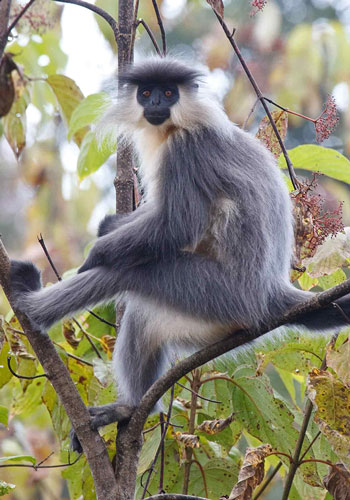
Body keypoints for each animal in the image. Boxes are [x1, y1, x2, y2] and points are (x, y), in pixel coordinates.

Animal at [7, 56, 350, 452]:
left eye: (169, 92)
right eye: (146, 93)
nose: (156, 102)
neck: (175, 126)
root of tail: (270, 293)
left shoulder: (186, 148)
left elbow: (177, 226)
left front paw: (96, 253)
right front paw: (108, 225)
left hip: (217, 293)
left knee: (125, 272)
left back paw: (31, 304)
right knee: (142, 315)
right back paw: (129, 408)